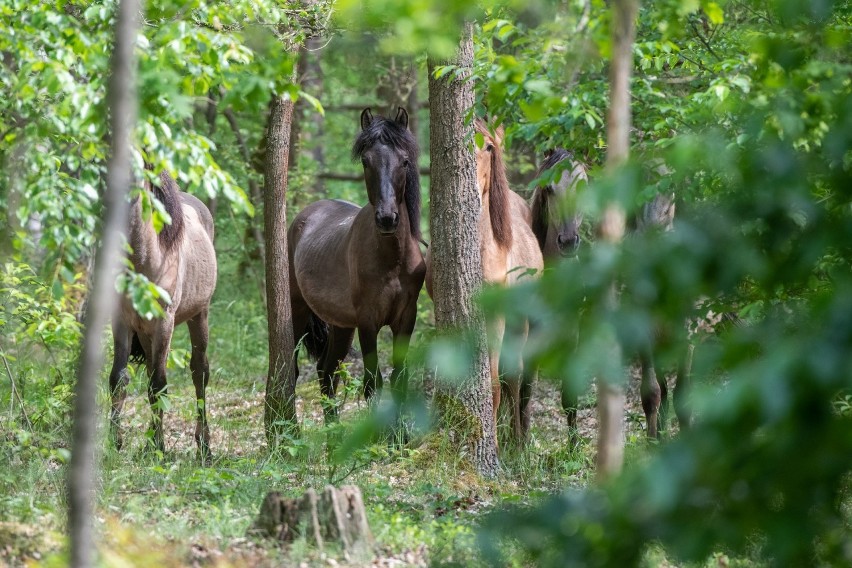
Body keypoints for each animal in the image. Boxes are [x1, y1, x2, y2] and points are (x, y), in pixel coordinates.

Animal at [290, 107, 426, 422]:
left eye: (404, 161)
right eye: (366, 161)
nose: (387, 218)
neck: (392, 258)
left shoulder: (406, 318)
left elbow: (399, 378)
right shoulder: (367, 320)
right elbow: (372, 383)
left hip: (341, 325)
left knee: (326, 372)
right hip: (299, 310)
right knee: (293, 370)